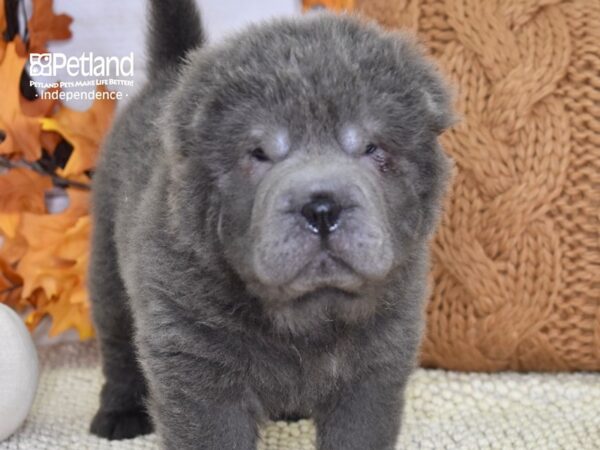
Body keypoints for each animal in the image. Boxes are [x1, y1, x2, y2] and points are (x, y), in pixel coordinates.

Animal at [89, 1, 452, 448]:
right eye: (259, 153)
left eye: (372, 148)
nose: (322, 208)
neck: (305, 317)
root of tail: (169, 71)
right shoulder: (198, 369)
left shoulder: (374, 370)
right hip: (108, 270)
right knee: (118, 349)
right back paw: (118, 415)